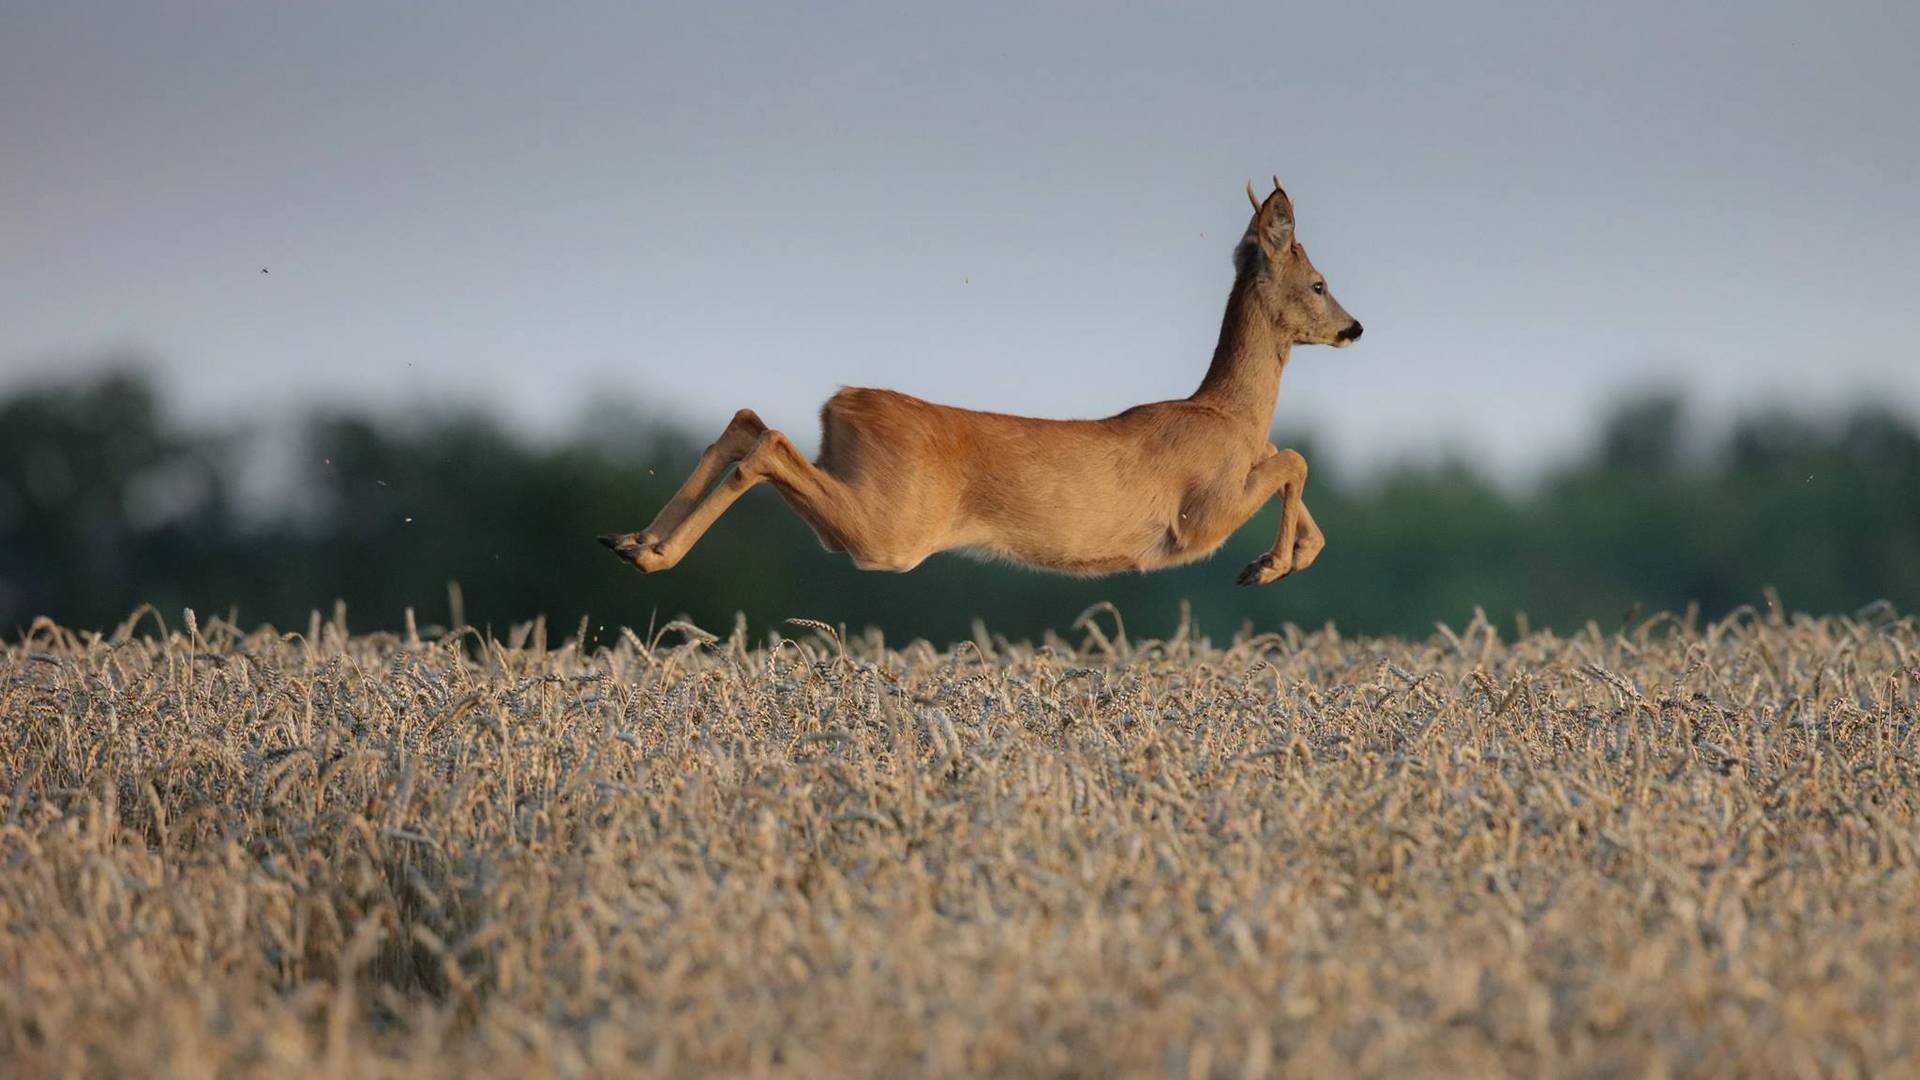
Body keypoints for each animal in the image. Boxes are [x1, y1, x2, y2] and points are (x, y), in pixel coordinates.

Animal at [599, 176, 1367, 584]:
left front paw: (1290, 555)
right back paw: (653, 552)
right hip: (893, 526)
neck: (1230, 414)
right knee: (767, 440)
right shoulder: (1198, 515)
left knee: (745, 420)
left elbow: (1292, 470)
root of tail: (841, 403)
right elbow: (1295, 458)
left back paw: (635, 543)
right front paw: (1268, 565)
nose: (1354, 328)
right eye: (1320, 284)